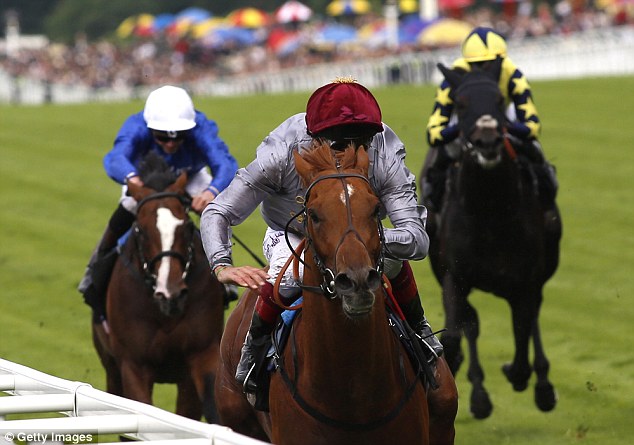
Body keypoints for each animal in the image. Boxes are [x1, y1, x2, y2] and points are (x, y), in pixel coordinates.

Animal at [91, 153, 223, 424]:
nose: (170, 293)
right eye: (140, 230)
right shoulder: (133, 365)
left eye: (186, 226)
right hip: (110, 365)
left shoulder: (202, 355)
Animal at [418, 58, 560, 416]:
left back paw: (542, 386)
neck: (490, 211)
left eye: (498, 100)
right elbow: (456, 334)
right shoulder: (454, 276)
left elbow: (522, 337)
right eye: (461, 103)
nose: (487, 142)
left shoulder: (525, 279)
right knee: (471, 323)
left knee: (531, 318)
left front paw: (520, 374)